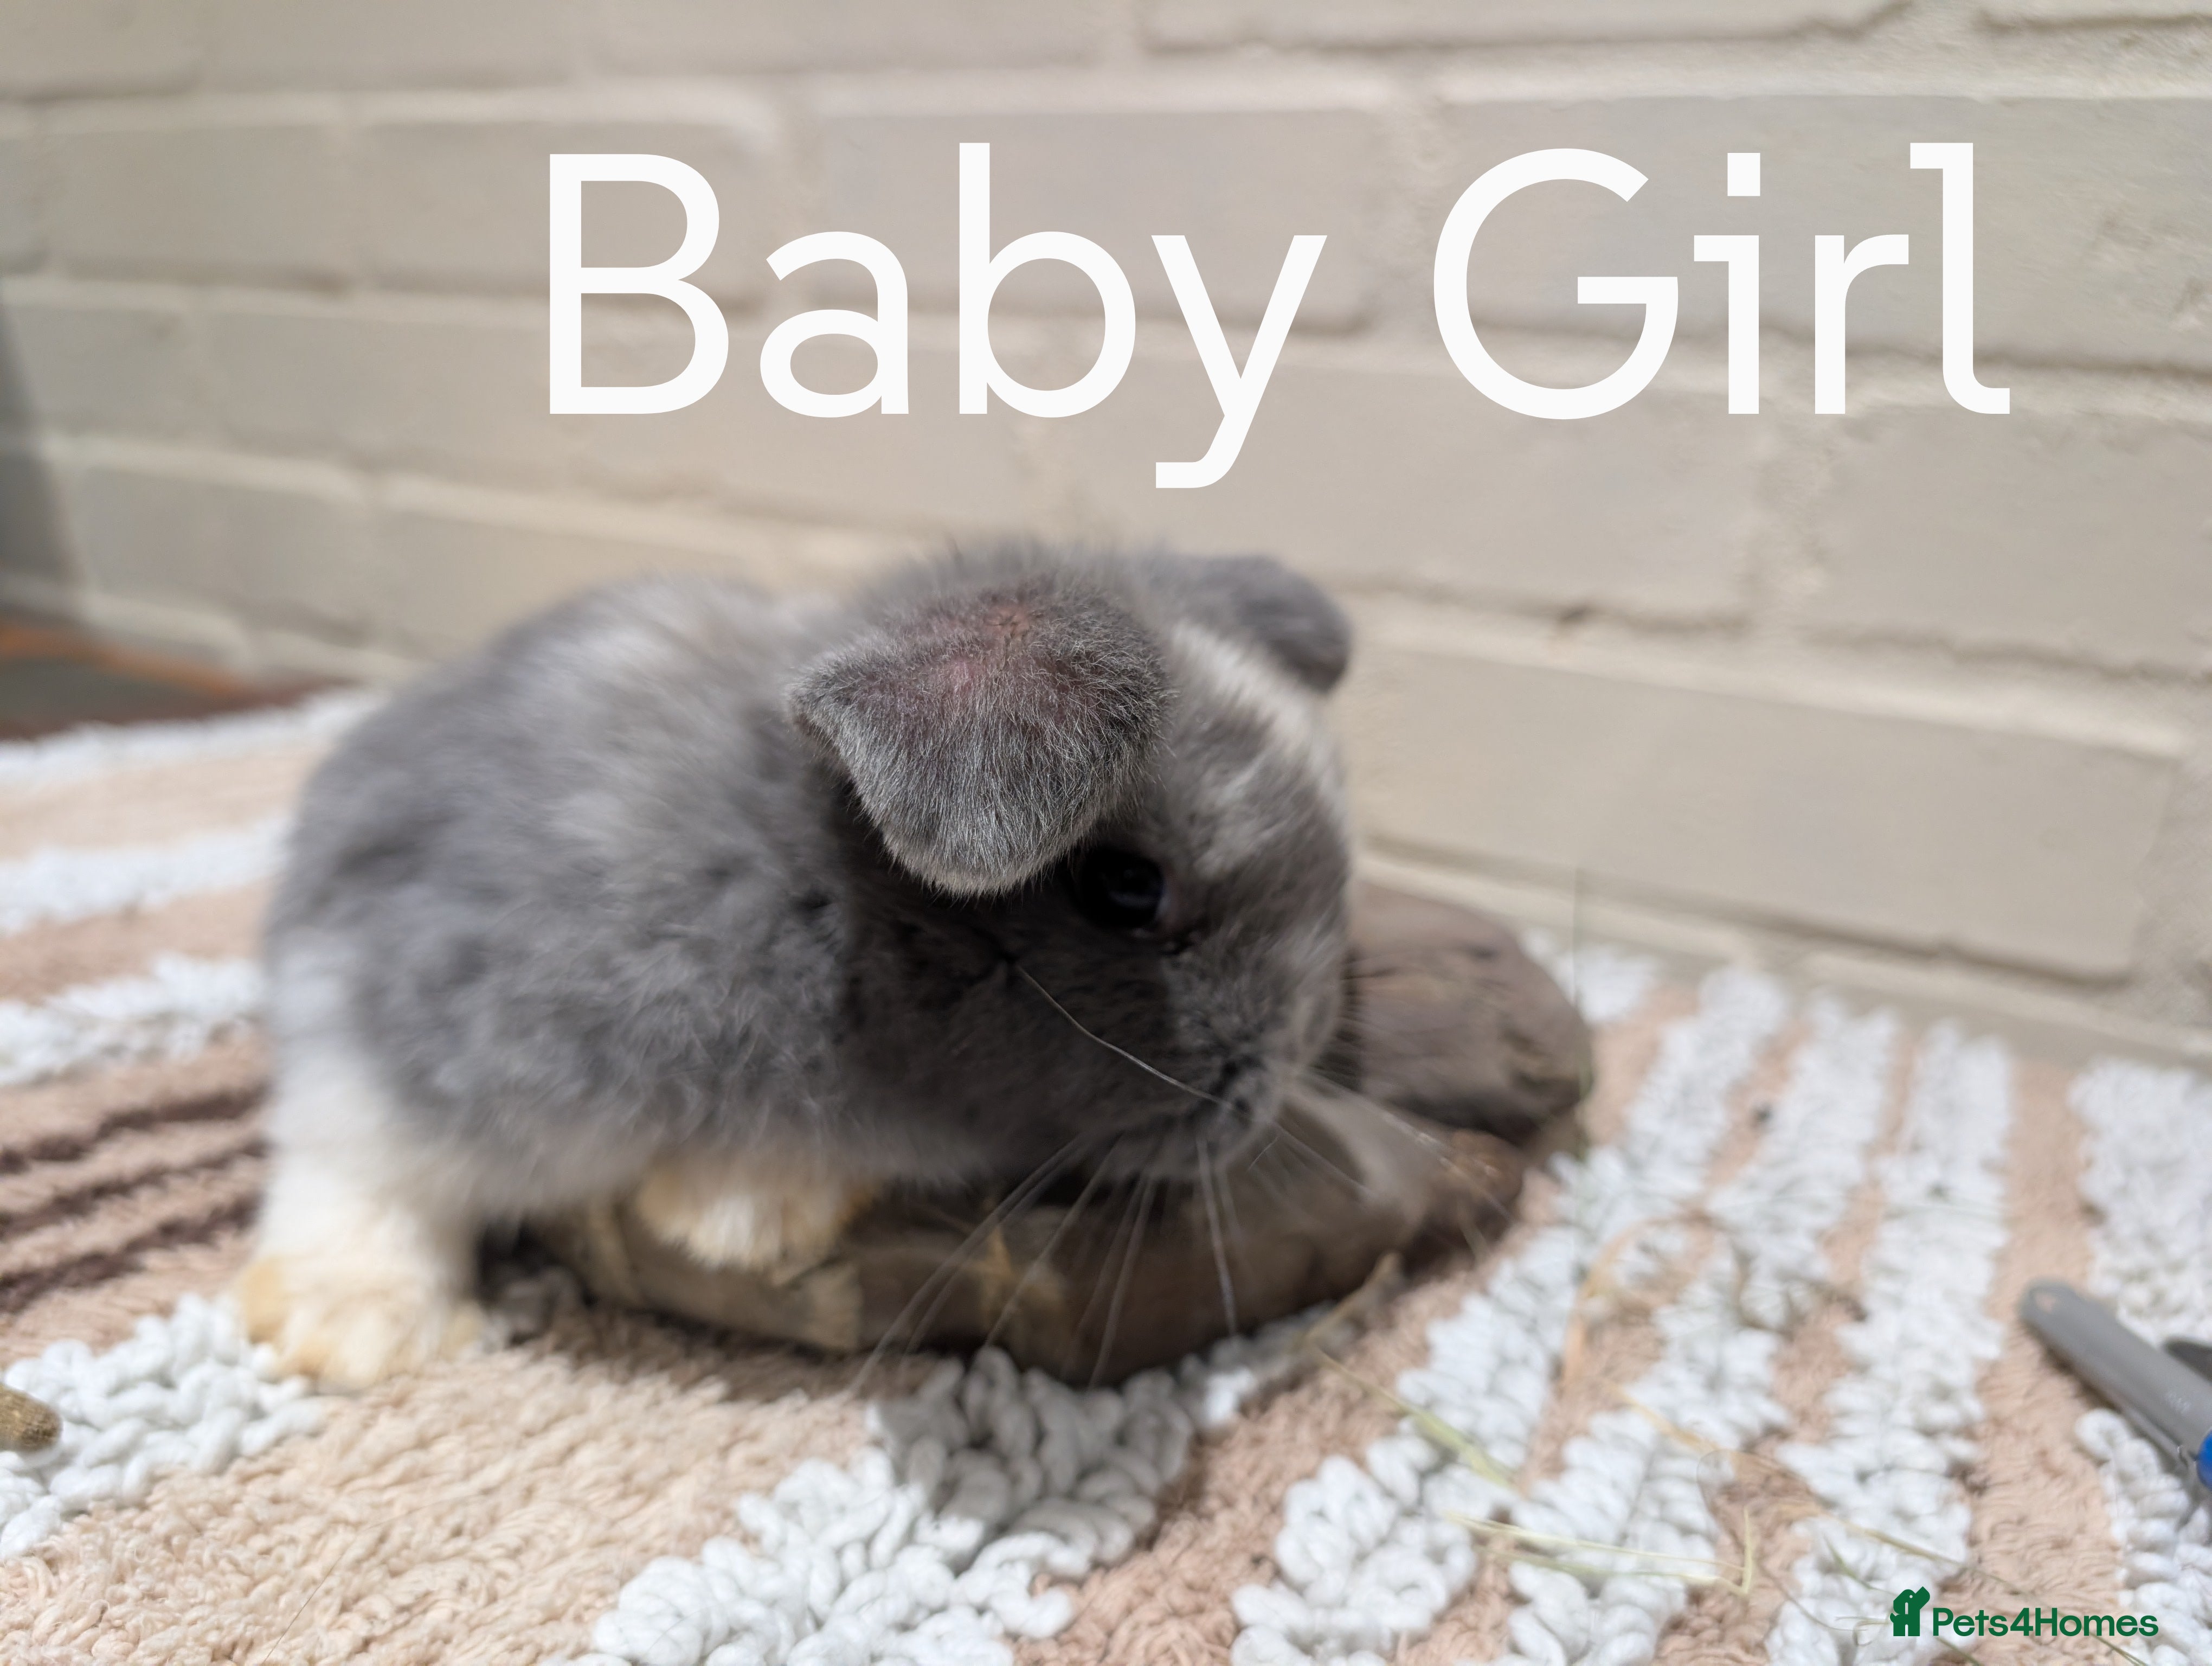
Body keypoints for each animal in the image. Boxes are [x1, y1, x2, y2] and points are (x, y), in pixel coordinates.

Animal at [236, 545, 1356, 1388]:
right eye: (1126, 888)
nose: (1285, 1066)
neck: (802, 895)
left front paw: (741, 1221)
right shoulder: (396, 992)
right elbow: (362, 1154)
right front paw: (355, 1332)